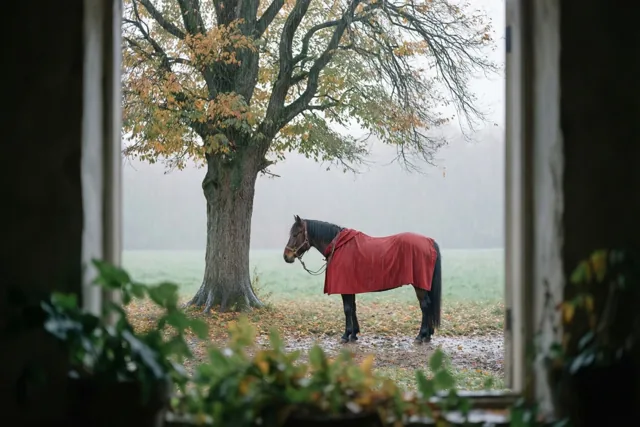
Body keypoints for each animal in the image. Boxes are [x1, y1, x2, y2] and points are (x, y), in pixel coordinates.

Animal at [283, 215, 442, 344]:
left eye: (296, 234)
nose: (286, 256)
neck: (339, 246)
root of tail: (430, 242)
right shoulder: (350, 287)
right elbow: (353, 308)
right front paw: (354, 334)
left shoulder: (344, 287)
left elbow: (347, 309)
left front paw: (346, 335)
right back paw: (427, 335)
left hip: (419, 286)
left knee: (425, 306)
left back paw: (421, 336)